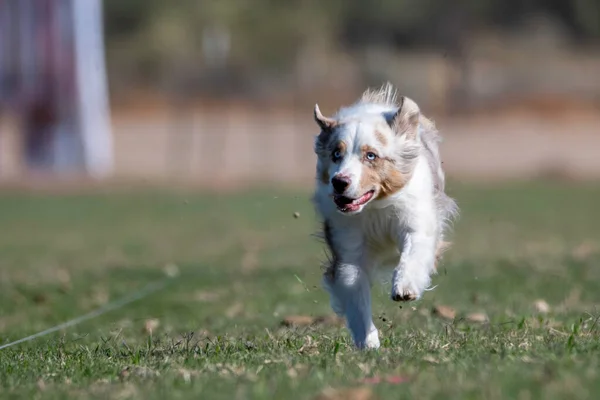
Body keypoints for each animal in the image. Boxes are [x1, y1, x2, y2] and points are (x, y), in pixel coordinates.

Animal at [312, 83, 458, 348]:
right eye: (336, 154)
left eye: (371, 155)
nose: (339, 182)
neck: (375, 208)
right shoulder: (348, 245)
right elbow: (355, 292)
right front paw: (368, 343)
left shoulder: (416, 221)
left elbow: (413, 254)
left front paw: (404, 288)